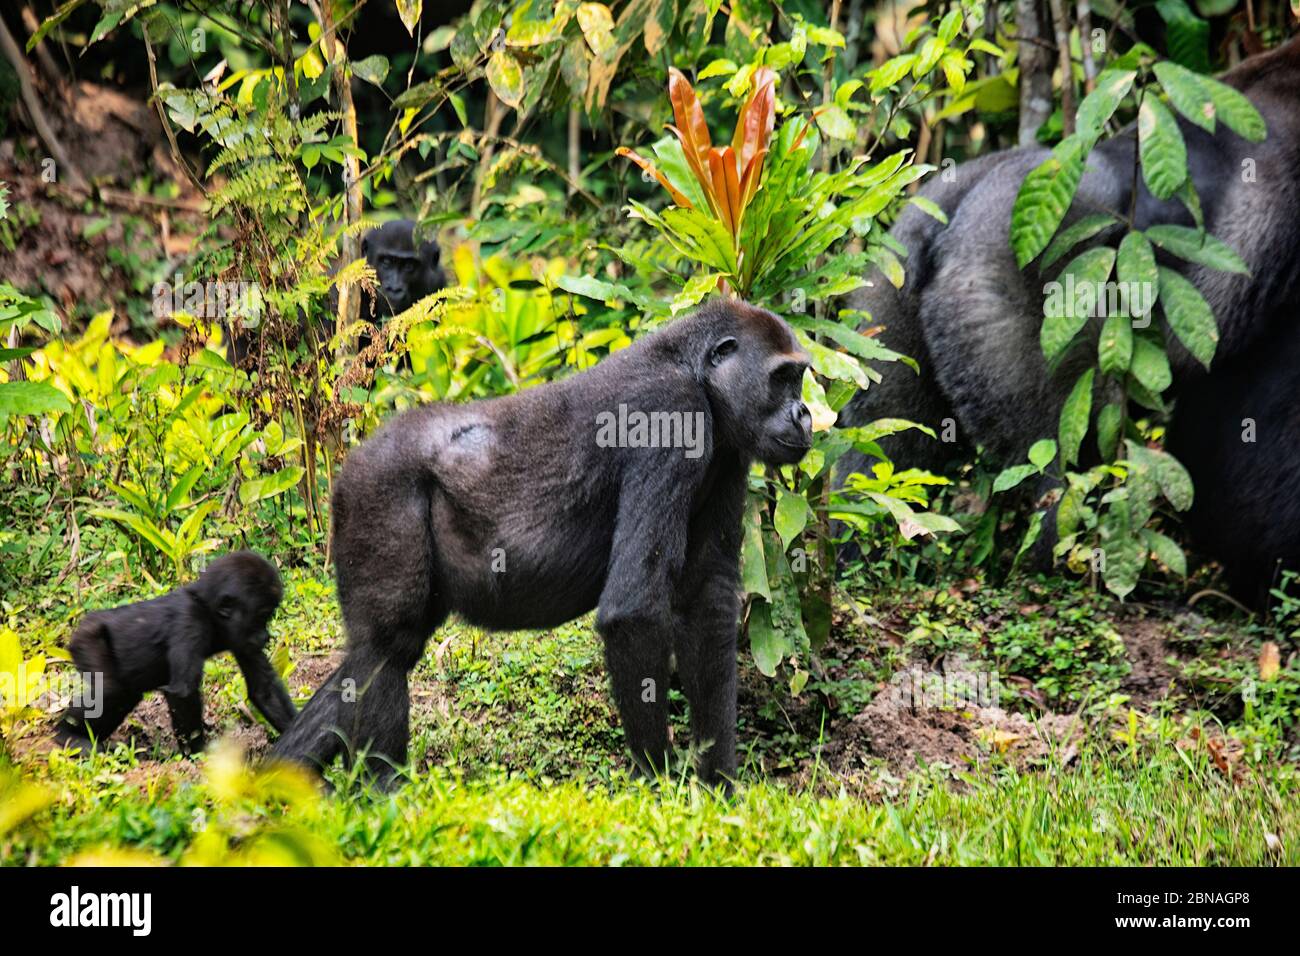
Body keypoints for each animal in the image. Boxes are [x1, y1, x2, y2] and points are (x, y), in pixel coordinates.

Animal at [55, 554, 295, 754]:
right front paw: (198, 757)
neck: (207, 608)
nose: (266, 636)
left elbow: (264, 689)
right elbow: (183, 693)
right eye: (261, 616)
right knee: (113, 691)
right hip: (87, 640)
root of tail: (83, 623)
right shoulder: (190, 623)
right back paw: (69, 736)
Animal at [274, 303, 811, 790]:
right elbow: (634, 611)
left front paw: (719, 785)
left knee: (373, 653)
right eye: (783, 379)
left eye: (799, 379)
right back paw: (383, 788)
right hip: (378, 491)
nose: (805, 415)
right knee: (388, 645)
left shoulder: (730, 449)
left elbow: (707, 605)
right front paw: (659, 786)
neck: (696, 371)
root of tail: (347, 467)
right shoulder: (672, 411)